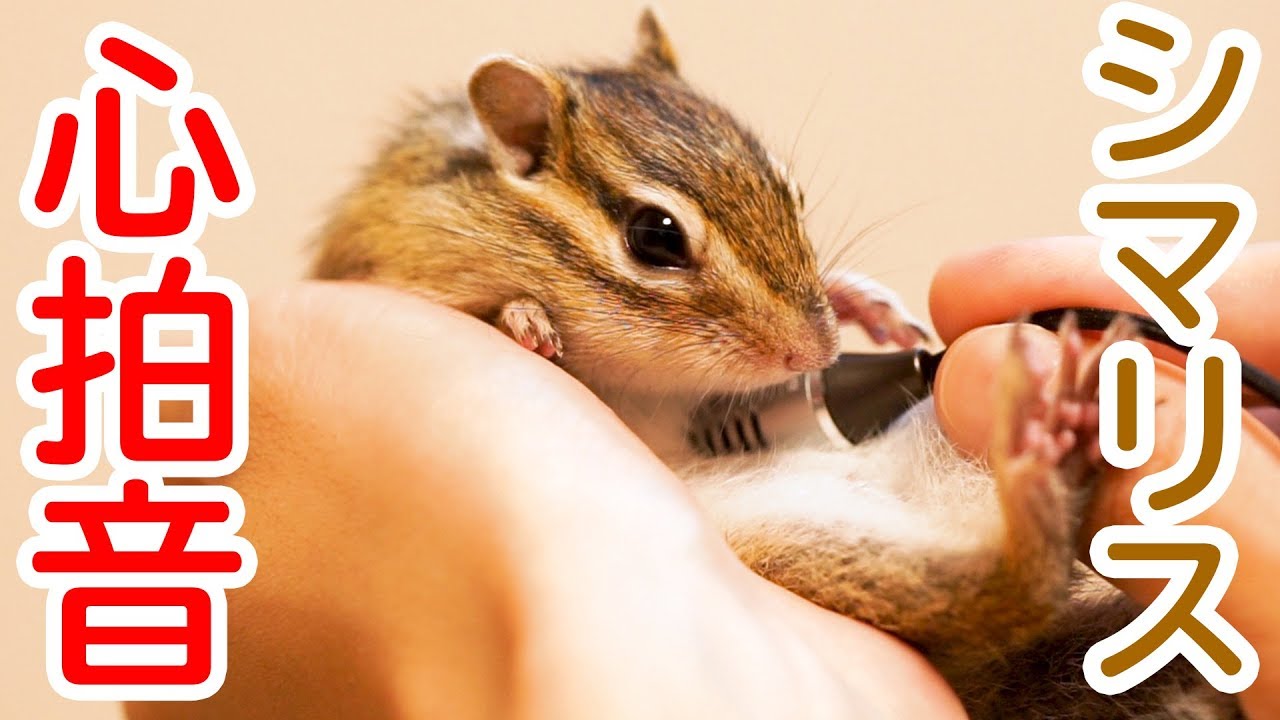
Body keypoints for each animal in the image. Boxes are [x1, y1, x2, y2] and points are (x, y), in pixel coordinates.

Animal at [312, 10, 1240, 719]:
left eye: (788, 190)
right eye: (654, 236)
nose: (819, 351)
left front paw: (865, 299)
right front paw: (524, 318)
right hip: (800, 543)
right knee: (1004, 589)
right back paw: (1037, 457)